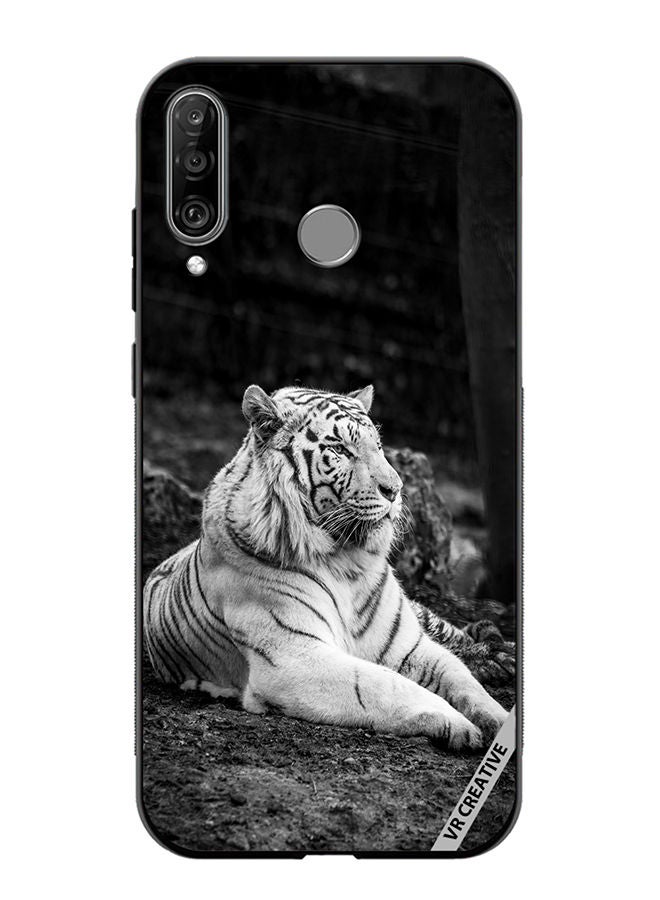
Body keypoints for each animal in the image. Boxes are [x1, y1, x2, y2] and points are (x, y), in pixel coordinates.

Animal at [143, 384, 509, 751]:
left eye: (378, 446)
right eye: (340, 450)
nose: (395, 490)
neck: (348, 563)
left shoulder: (407, 645)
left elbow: (460, 676)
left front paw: (500, 721)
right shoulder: (294, 658)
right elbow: (384, 683)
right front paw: (459, 725)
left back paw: (499, 654)